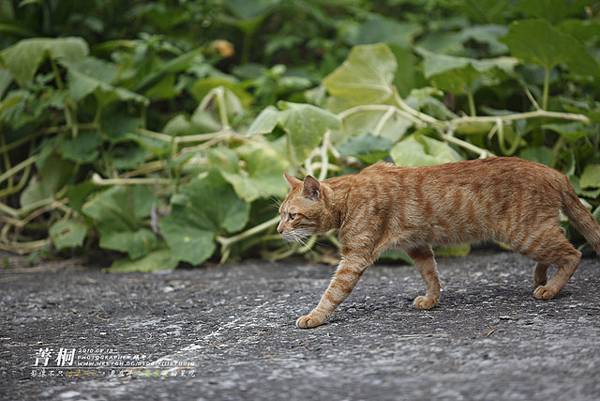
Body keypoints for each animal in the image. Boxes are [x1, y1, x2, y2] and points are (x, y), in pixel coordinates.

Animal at [278, 156, 600, 328]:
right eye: (279, 215)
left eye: (292, 216)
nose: (280, 230)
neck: (348, 197)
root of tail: (555, 172)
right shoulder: (417, 246)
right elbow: (431, 275)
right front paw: (431, 300)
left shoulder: (354, 257)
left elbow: (332, 293)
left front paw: (314, 317)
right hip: (534, 234)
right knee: (556, 251)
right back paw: (540, 278)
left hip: (526, 234)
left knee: (573, 254)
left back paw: (551, 289)